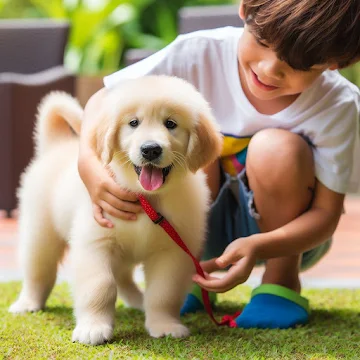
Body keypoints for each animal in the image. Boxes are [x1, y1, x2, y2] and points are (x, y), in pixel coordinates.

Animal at [9, 74, 222, 344]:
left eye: (171, 123)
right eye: (133, 122)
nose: (150, 149)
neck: (146, 199)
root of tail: (57, 145)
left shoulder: (172, 251)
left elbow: (164, 292)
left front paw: (165, 325)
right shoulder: (95, 242)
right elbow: (100, 286)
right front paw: (93, 328)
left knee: (123, 277)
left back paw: (138, 301)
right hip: (40, 231)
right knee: (38, 271)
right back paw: (28, 303)